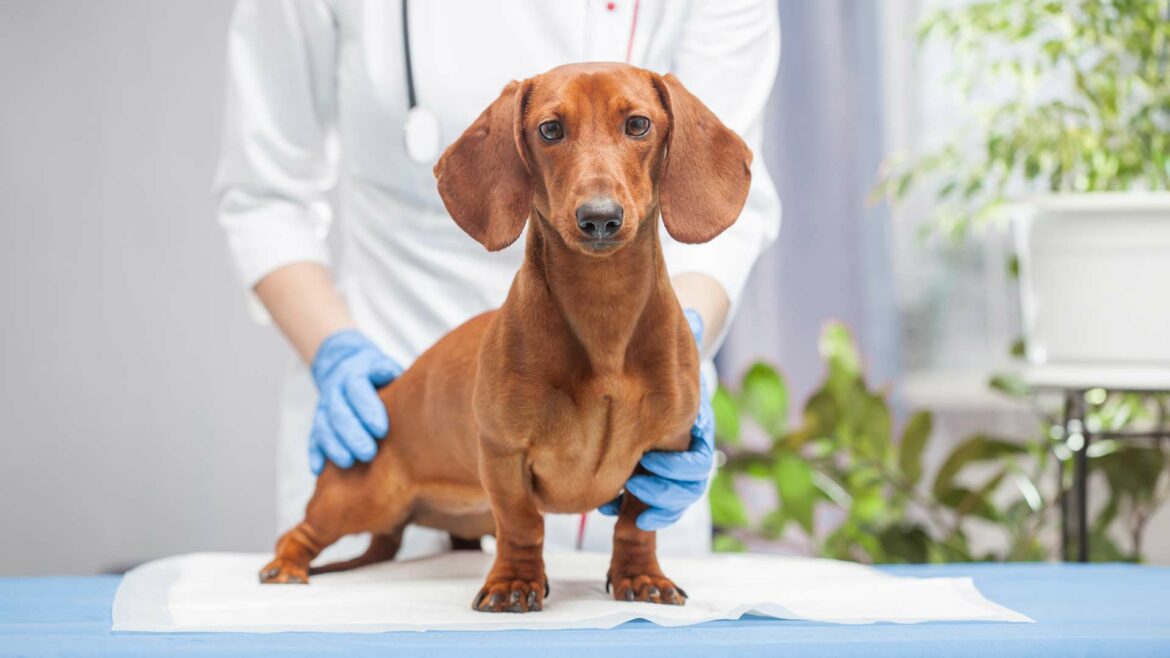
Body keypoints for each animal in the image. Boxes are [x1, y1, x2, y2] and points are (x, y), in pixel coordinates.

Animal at [258, 61, 748, 608]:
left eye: (638, 124)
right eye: (550, 129)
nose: (599, 218)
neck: (604, 318)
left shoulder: (664, 454)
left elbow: (637, 526)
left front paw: (641, 578)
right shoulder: (503, 454)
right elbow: (522, 525)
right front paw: (514, 582)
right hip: (359, 498)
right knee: (297, 533)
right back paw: (285, 567)